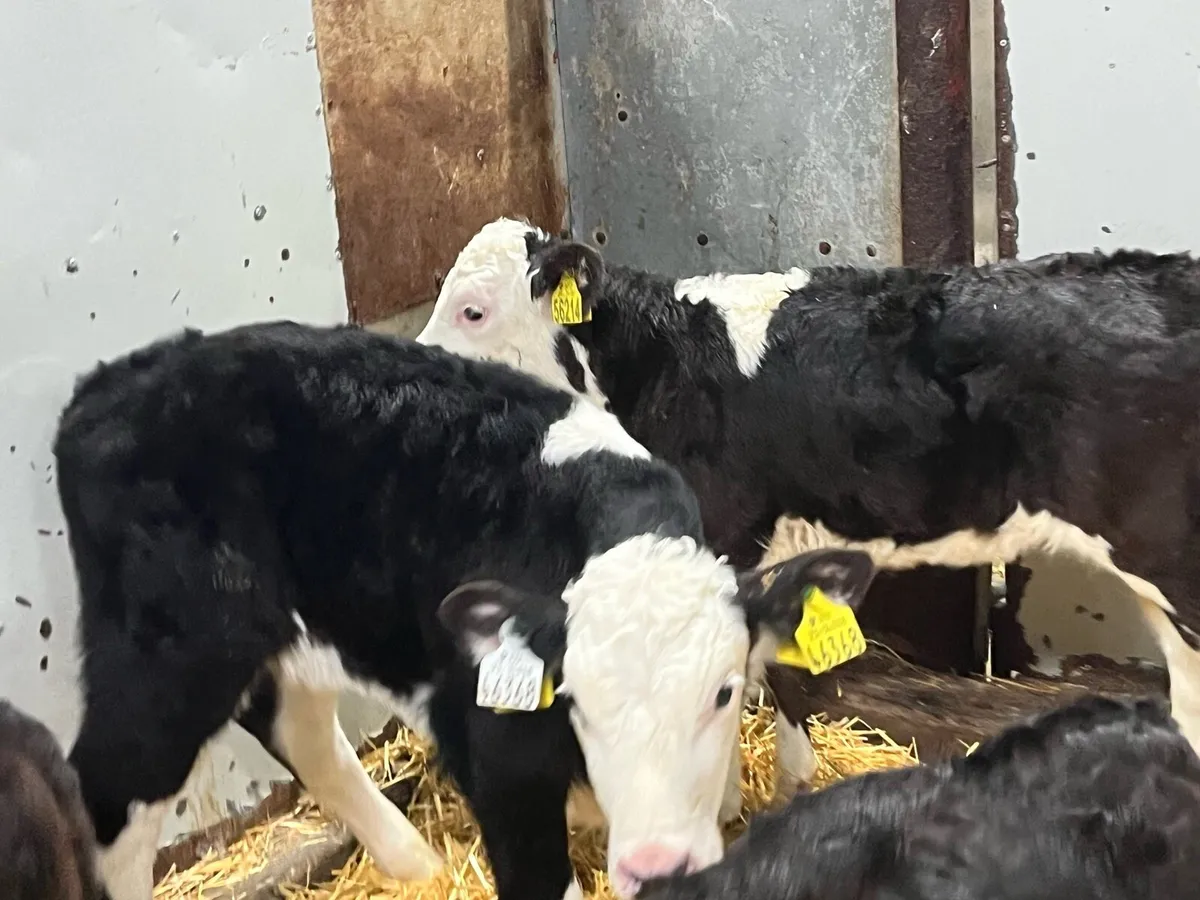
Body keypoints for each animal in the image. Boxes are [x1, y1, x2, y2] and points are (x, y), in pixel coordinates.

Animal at [52, 320, 879, 900]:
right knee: (110, 795)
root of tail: (108, 385)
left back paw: (415, 865)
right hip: (168, 645)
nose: (656, 863)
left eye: (724, 693)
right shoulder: (498, 763)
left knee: (298, 728)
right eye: (575, 701)